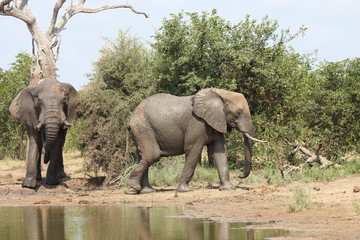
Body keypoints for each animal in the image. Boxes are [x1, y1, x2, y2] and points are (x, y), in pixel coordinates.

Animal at [126, 88, 264, 193]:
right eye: (238, 112)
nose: (240, 175)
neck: (219, 94)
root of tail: (131, 117)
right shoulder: (197, 123)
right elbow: (193, 150)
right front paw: (184, 190)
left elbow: (219, 151)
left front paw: (229, 188)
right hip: (143, 129)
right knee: (152, 155)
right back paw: (134, 186)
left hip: (141, 131)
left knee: (143, 156)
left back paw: (147, 191)